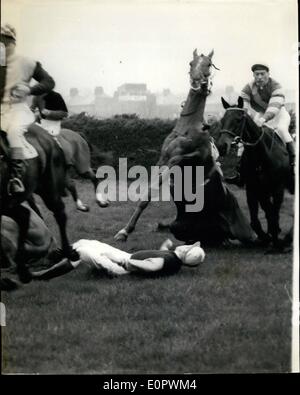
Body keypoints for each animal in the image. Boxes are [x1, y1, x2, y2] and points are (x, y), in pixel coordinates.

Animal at [115, 48, 216, 241]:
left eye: (208, 64)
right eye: (191, 63)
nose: (196, 82)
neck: (187, 127)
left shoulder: (180, 160)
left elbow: (155, 188)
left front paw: (125, 231)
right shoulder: (162, 160)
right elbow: (147, 194)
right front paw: (124, 230)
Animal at [217, 96, 294, 251]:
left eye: (238, 119)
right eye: (223, 119)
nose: (221, 146)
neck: (262, 154)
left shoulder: (278, 189)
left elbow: (273, 212)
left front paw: (276, 242)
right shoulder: (253, 188)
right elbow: (258, 218)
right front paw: (266, 237)